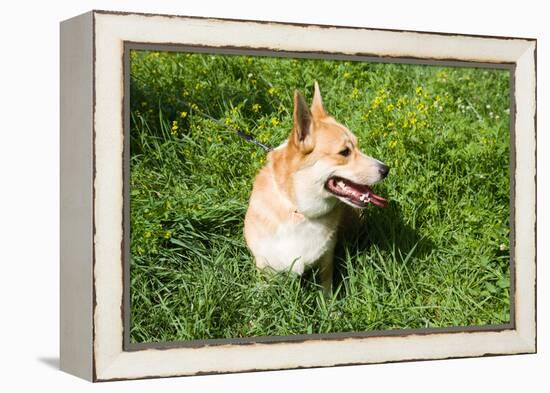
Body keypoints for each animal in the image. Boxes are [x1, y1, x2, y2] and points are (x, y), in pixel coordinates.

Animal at [244, 82, 390, 290]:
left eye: (357, 146)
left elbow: (326, 286)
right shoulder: (264, 265)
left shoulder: (326, 259)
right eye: (344, 152)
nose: (386, 170)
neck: (300, 212)